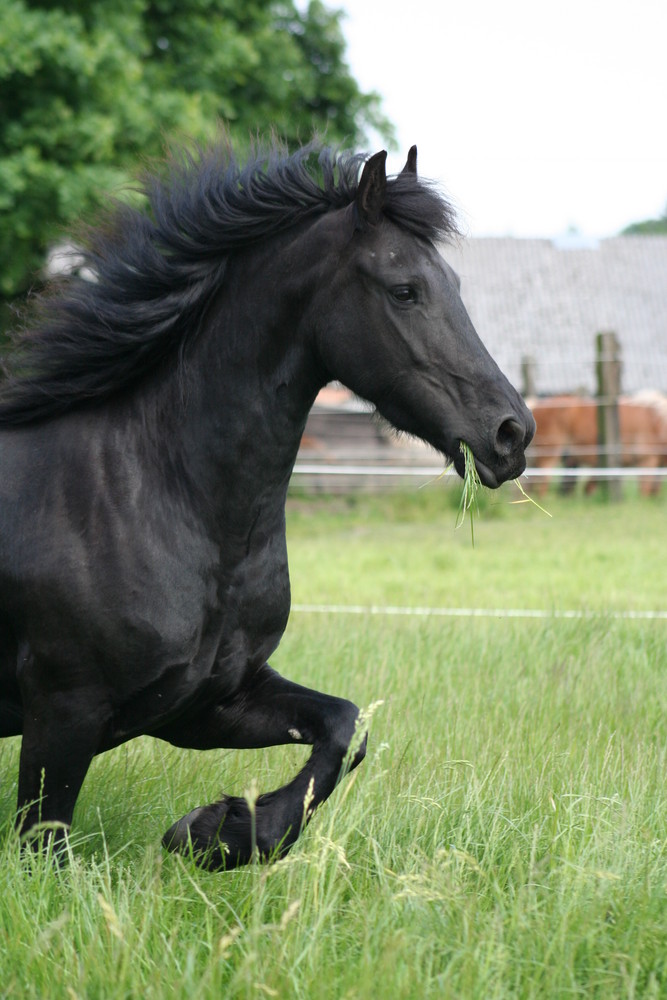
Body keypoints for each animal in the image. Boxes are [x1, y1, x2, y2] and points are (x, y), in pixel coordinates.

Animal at [0, 141, 532, 868]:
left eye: (452, 284)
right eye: (404, 290)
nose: (511, 434)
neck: (150, 490)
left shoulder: (205, 703)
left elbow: (345, 726)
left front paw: (217, 833)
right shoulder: (63, 713)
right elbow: (44, 848)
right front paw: (217, 831)